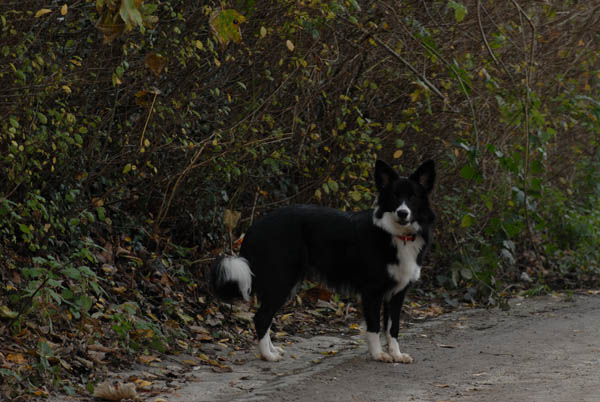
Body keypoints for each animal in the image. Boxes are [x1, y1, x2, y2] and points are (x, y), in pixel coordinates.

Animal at [212, 160, 436, 364]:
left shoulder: (398, 293)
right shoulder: (372, 291)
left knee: (266, 317)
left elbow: (393, 327)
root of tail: (255, 226)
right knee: (261, 317)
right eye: (395, 196)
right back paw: (268, 356)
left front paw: (396, 354)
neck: (396, 235)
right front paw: (378, 354)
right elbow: (374, 326)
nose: (402, 213)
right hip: (282, 280)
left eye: (413, 196)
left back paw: (273, 350)